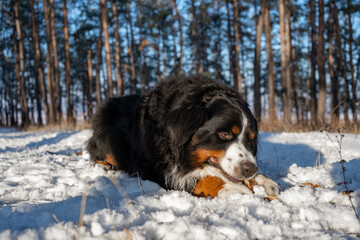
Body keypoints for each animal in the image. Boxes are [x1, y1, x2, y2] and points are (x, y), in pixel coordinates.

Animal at [87, 76, 278, 198]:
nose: (250, 169)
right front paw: (233, 188)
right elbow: (199, 180)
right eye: (224, 134)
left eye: (250, 139)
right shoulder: (157, 169)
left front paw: (264, 180)